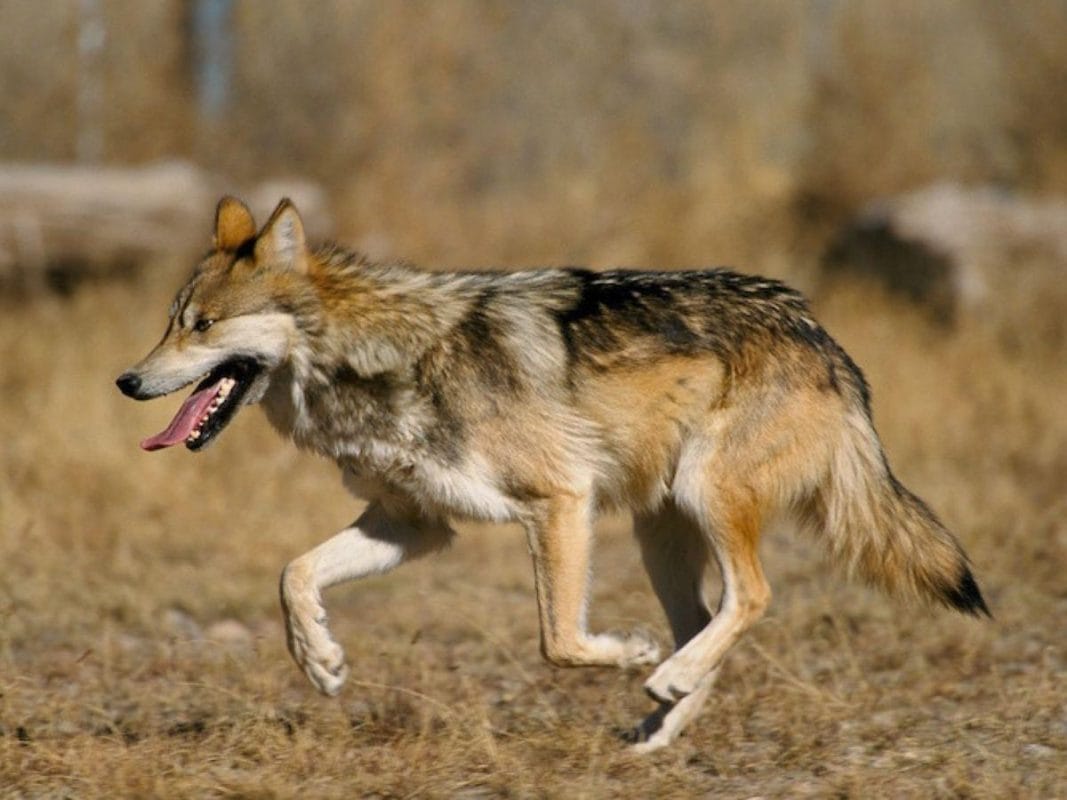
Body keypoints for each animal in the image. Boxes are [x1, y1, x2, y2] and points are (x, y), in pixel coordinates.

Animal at [116, 197, 989, 752]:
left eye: (203, 326)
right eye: (169, 323)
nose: (126, 381)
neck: (378, 359)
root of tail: (819, 334)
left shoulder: (559, 501)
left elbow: (559, 642)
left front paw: (627, 653)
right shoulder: (414, 525)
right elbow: (293, 574)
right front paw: (320, 661)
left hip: (701, 498)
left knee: (751, 598)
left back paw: (661, 676)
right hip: (659, 534)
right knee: (708, 620)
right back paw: (658, 725)